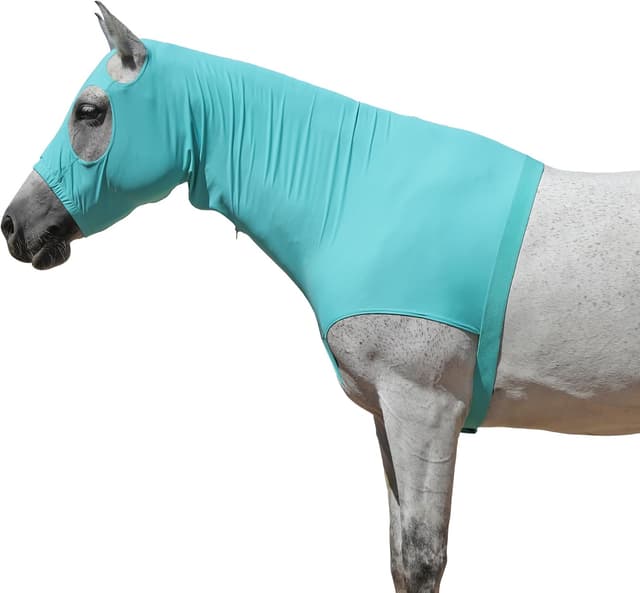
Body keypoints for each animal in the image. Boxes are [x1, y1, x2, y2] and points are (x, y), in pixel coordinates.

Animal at [4, 4, 640, 592]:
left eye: (89, 111)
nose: (14, 225)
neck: (365, 194)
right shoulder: (389, 412)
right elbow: (399, 557)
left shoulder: (425, 407)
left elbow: (423, 558)